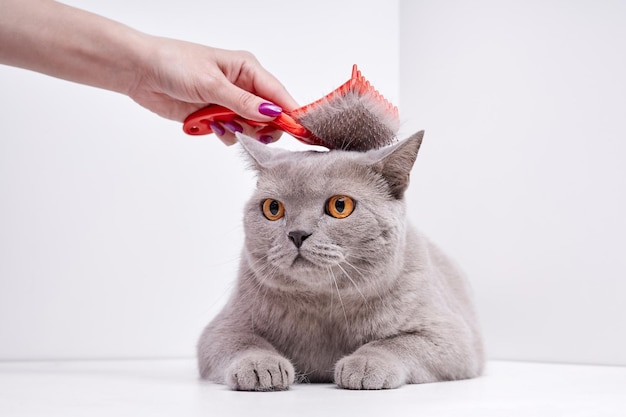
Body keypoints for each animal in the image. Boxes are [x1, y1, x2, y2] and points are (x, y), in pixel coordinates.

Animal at [197, 132, 480, 390]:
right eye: (273, 209)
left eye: (340, 205)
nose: (297, 234)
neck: (325, 305)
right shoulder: (222, 328)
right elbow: (243, 342)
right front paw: (260, 367)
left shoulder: (452, 335)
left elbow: (395, 342)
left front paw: (363, 365)